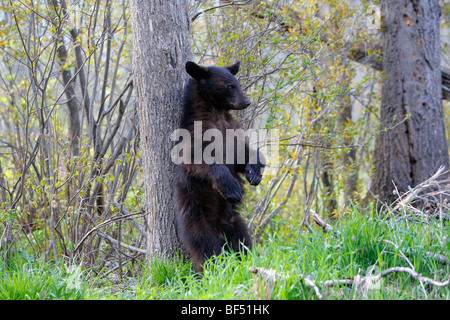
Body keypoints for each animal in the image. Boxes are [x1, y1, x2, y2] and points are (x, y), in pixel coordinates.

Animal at [172, 60, 264, 272]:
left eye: (237, 83)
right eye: (229, 86)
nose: (246, 101)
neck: (216, 115)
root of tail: (220, 228)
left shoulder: (233, 133)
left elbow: (245, 154)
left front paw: (254, 173)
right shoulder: (194, 136)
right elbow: (200, 161)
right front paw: (232, 188)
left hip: (236, 223)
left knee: (243, 243)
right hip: (197, 223)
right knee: (205, 250)